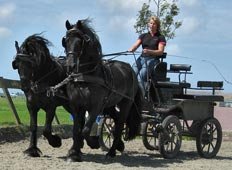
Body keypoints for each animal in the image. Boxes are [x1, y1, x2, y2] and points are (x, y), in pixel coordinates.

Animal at [60, 19, 142, 161]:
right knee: (116, 121)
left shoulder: (96, 107)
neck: (85, 76)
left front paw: (93, 143)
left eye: (80, 41)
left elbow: (86, 129)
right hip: (110, 105)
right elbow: (76, 130)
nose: (70, 66)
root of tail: (130, 70)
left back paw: (112, 152)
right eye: (66, 41)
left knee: (120, 125)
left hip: (125, 103)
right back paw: (119, 145)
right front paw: (74, 152)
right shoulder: (77, 106)